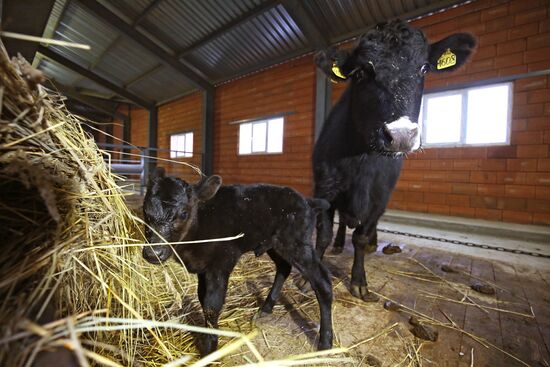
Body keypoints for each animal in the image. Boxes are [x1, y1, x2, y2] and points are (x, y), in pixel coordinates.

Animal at [142, 171, 332, 358]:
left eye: (183, 213)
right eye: (145, 212)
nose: (153, 253)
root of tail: (306, 201)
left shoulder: (221, 263)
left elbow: (212, 305)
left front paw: (210, 350)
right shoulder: (203, 268)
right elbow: (202, 298)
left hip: (297, 243)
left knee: (322, 282)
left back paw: (325, 342)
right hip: (274, 244)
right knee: (284, 268)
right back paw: (266, 307)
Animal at [312, 19, 476, 302]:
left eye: (424, 68)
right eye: (360, 72)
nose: (400, 135)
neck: (361, 161)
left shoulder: (380, 195)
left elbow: (360, 237)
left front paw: (359, 281)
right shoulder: (325, 187)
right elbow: (323, 234)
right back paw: (338, 245)